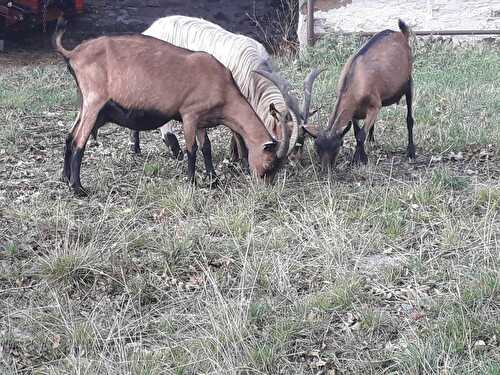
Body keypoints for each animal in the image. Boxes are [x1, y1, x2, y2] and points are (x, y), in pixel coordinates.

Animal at [52, 18, 292, 197]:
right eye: (270, 165)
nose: (265, 187)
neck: (223, 86)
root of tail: (74, 54)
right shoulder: (189, 114)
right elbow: (192, 149)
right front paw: (192, 181)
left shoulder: (202, 119)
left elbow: (206, 147)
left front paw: (213, 179)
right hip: (94, 101)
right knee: (79, 141)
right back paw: (78, 187)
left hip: (85, 103)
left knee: (69, 136)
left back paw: (64, 178)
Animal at [129, 15, 322, 162]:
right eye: (286, 134)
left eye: (303, 138)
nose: (295, 161)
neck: (252, 73)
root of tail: (148, 31)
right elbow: (237, 132)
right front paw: (241, 159)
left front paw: (234, 156)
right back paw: (172, 148)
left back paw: (136, 148)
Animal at [304, 19, 414, 169]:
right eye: (317, 148)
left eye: (338, 145)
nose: (326, 169)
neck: (356, 80)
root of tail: (401, 34)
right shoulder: (354, 112)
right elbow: (357, 133)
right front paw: (360, 157)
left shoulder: (375, 106)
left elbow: (361, 134)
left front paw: (358, 160)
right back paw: (372, 141)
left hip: (408, 82)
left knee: (409, 118)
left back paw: (411, 151)